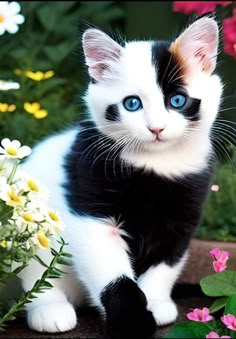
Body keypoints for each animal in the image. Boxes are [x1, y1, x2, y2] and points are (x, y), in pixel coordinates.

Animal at [19, 15, 223, 339]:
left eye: (178, 100)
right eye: (132, 104)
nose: (156, 128)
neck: (156, 164)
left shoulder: (183, 215)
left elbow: (166, 263)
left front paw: (155, 302)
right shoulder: (91, 210)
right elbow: (114, 275)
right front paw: (132, 323)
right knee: (37, 271)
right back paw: (50, 309)